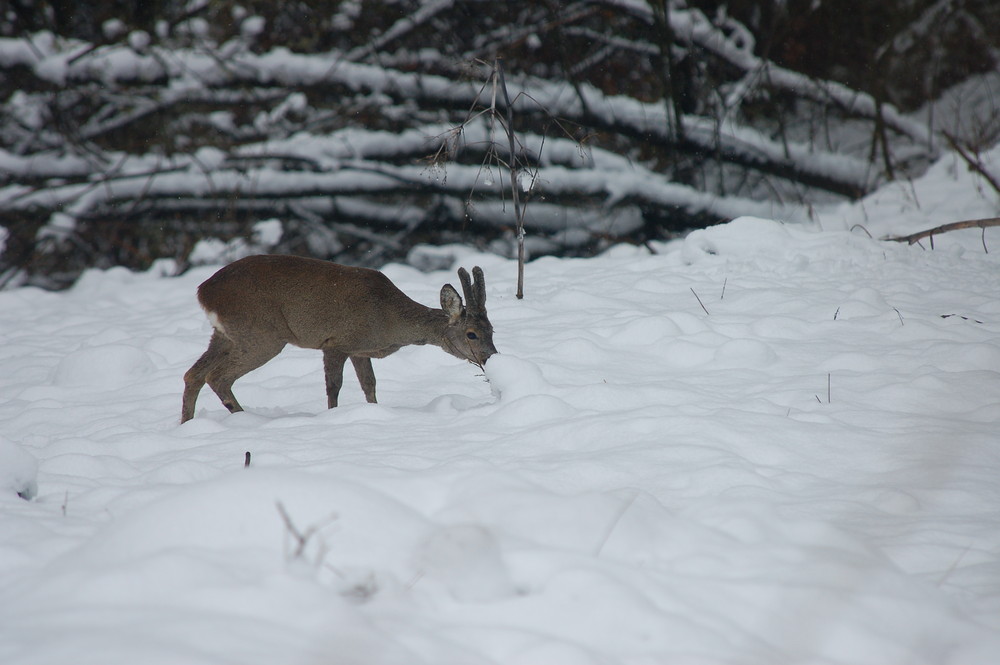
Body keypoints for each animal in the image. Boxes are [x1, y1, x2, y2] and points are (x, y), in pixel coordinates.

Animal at [181, 254, 500, 420]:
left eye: (492, 330)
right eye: (471, 334)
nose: (490, 356)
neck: (389, 319)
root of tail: (203, 292)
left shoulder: (360, 351)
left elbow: (370, 385)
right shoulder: (337, 342)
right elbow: (334, 387)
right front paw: (332, 418)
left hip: (225, 334)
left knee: (193, 374)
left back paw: (187, 424)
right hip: (262, 334)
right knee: (217, 376)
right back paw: (241, 416)